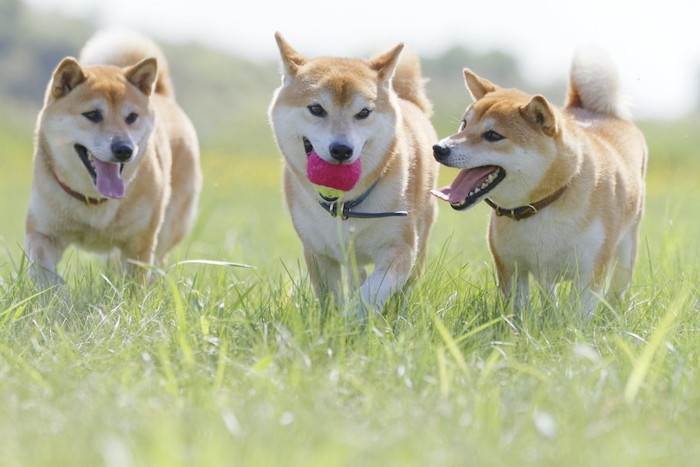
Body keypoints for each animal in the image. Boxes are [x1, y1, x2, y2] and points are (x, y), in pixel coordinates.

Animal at [24, 31, 200, 288]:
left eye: (132, 117)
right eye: (93, 114)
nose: (124, 149)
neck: (94, 201)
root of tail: (162, 95)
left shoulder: (139, 243)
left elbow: (135, 286)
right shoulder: (43, 232)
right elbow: (47, 277)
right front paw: (58, 296)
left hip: (168, 227)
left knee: (158, 263)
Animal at [268, 33, 438, 318]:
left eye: (363, 113)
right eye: (316, 109)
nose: (341, 149)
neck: (345, 205)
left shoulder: (400, 247)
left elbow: (372, 291)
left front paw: (353, 317)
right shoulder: (317, 252)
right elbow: (331, 298)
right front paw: (334, 321)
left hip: (422, 233)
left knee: (406, 284)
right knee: (355, 272)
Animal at [432, 49, 644, 318]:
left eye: (493, 135)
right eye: (464, 124)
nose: (439, 148)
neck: (540, 204)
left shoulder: (589, 271)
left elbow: (579, 314)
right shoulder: (511, 268)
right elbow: (518, 311)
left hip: (626, 249)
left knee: (618, 289)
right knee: (548, 293)